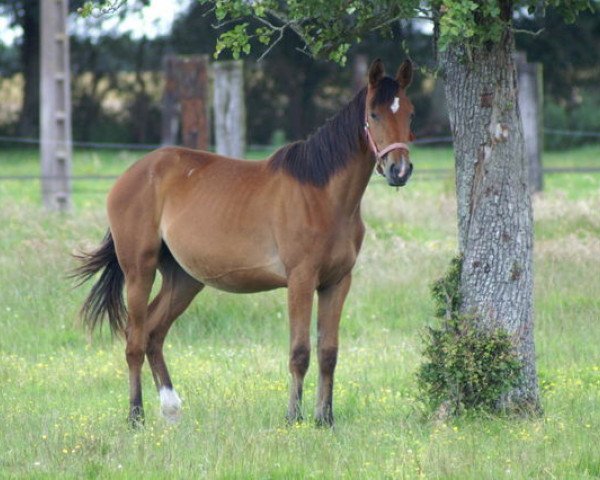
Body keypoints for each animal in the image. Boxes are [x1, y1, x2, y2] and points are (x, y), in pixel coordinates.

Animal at [74, 58, 412, 426]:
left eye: (409, 113)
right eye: (374, 114)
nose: (400, 170)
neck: (323, 194)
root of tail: (131, 174)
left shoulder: (337, 282)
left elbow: (328, 352)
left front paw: (326, 420)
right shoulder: (301, 280)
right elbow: (300, 352)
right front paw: (293, 418)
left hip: (184, 279)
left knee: (153, 333)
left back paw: (171, 410)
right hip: (139, 270)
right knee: (134, 339)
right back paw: (136, 416)